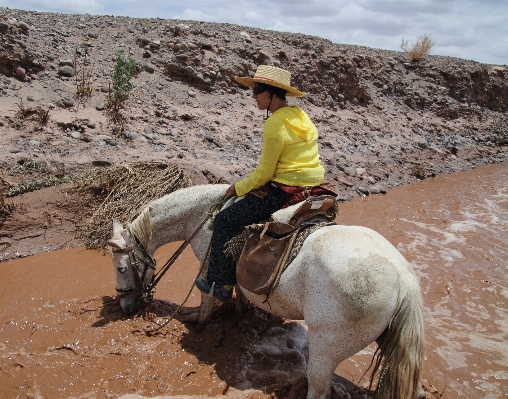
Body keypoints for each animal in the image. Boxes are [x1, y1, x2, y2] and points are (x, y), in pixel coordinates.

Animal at [107, 185, 424, 399]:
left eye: (121, 267)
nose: (126, 306)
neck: (205, 216)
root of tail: (404, 278)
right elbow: (240, 294)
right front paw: (238, 315)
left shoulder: (208, 264)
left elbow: (207, 299)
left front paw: (197, 324)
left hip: (327, 347)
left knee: (318, 388)